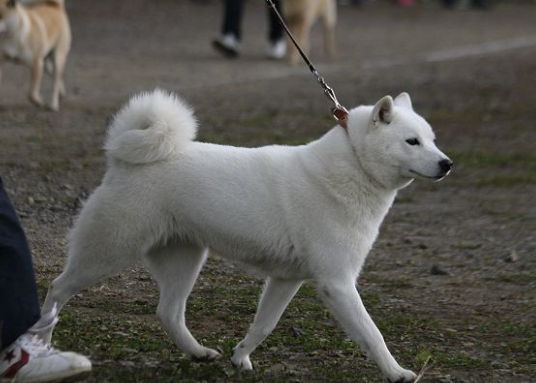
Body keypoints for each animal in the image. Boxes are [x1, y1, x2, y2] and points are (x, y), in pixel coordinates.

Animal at [40, 91, 452, 383]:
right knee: (57, 288)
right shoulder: (337, 283)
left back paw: (198, 353)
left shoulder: (286, 279)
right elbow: (372, 333)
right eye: (412, 141)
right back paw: (42, 345)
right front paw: (397, 373)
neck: (354, 166)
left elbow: (263, 325)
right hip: (110, 252)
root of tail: (121, 160)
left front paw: (241, 356)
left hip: (186, 259)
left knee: (168, 312)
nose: (447, 164)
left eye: (432, 139)